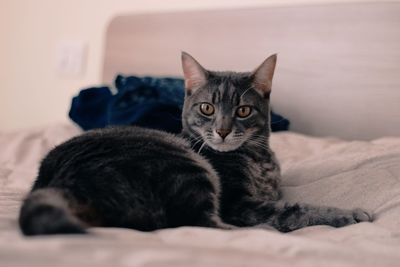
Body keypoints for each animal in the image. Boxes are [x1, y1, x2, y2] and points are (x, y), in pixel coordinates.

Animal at [18, 52, 372, 237]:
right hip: (185, 166)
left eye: (243, 111)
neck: (260, 159)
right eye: (207, 108)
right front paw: (350, 214)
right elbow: (297, 209)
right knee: (202, 222)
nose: (223, 130)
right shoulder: (240, 204)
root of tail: (59, 180)